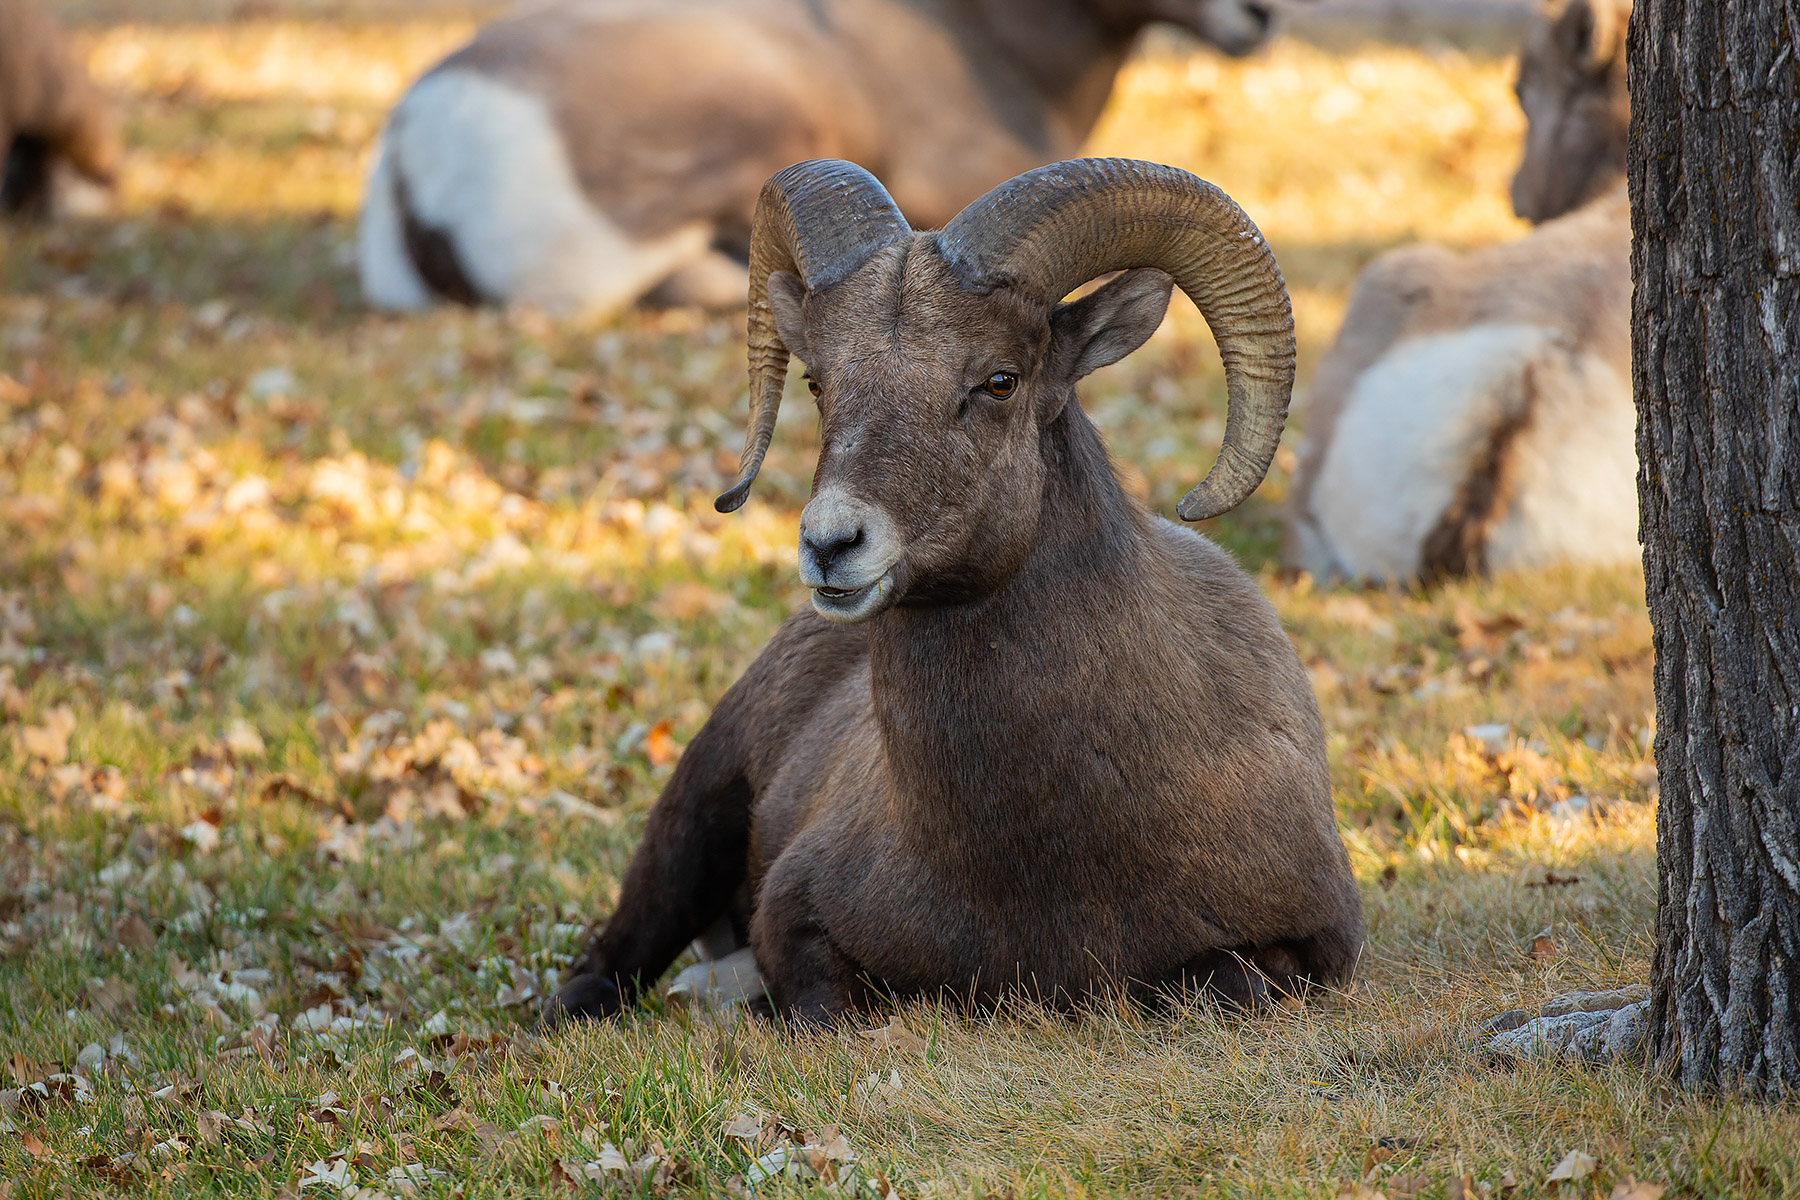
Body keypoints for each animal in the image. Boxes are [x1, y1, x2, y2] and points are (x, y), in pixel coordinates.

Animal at [544, 157, 1365, 1024]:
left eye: (1000, 380)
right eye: (817, 382)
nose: (831, 545)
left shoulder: (1313, 950)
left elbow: (1216, 987)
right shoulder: (795, 916)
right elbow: (825, 1006)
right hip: (691, 821)